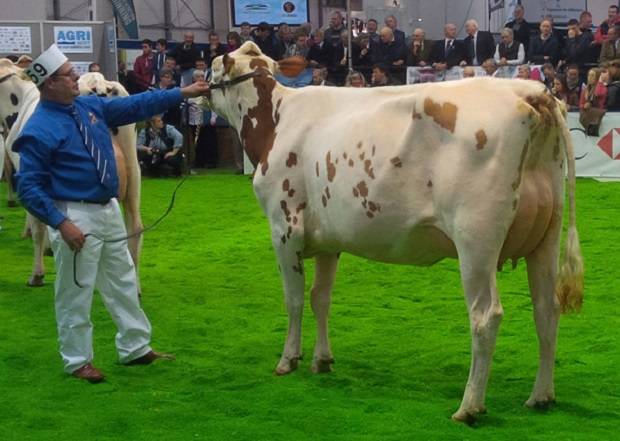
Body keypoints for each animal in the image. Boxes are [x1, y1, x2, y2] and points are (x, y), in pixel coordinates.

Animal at [207, 42, 580, 422]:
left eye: (211, 69)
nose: (199, 91)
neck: (276, 120)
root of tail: (529, 92)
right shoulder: (329, 240)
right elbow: (320, 298)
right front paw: (322, 360)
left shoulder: (284, 228)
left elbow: (294, 299)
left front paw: (288, 360)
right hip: (546, 236)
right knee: (546, 309)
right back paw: (541, 396)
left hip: (476, 242)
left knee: (485, 317)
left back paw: (469, 406)